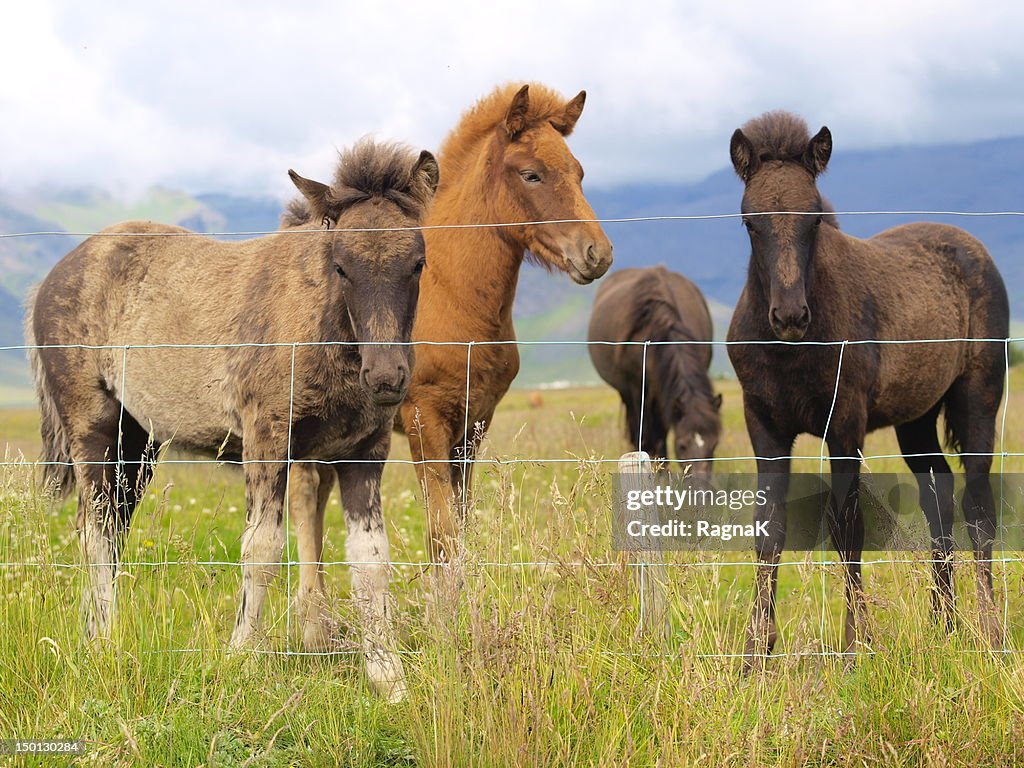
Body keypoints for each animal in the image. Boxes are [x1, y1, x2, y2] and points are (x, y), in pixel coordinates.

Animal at [25, 140, 438, 704]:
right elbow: (261, 548)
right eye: (341, 266)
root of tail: (49, 280)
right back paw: (104, 642)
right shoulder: (266, 438)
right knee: (97, 534)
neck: (322, 330)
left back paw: (95, 635)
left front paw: (388, 676)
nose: (387, 376)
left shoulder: (364, 451)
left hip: (139, 443)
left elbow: (370, 558)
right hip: (93, 427)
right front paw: (240, 655)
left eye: (417, 263)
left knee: (110, 531)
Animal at [589, 266, 724, 475]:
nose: (700, 483)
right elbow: (646, 436)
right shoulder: (638, 389)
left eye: (714, 445)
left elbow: (661, 434)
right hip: (628, 394)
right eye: (682, 446)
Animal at [729, 109, 1007, 667]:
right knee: (939, 495)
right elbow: (768, 530)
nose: (789, 316)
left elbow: (847, 528)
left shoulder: (845, 424)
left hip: (978, 398)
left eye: (815, 219)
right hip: (916, 419)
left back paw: (989, 633)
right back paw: (944, 626)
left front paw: (857, 647)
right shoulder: (764, 425)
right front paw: (754, 655)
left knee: (978, 507)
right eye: (750, 222)